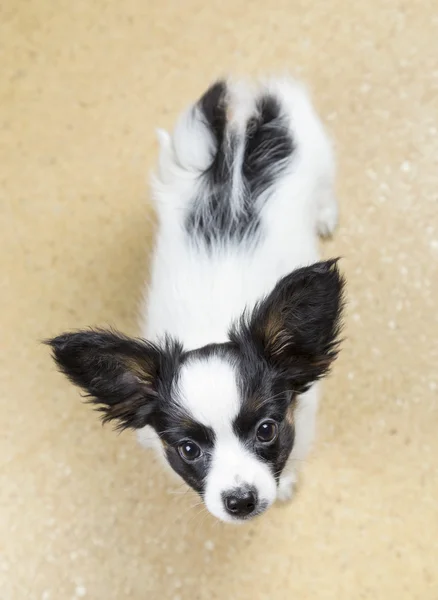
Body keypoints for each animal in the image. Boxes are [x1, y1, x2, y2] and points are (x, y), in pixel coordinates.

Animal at [46, 77, 344, 524]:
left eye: (267, 430)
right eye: (189, 450)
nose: (241, 500)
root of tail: (242, 113)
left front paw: (287, 481)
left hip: (316, 150)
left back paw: (324, 214)